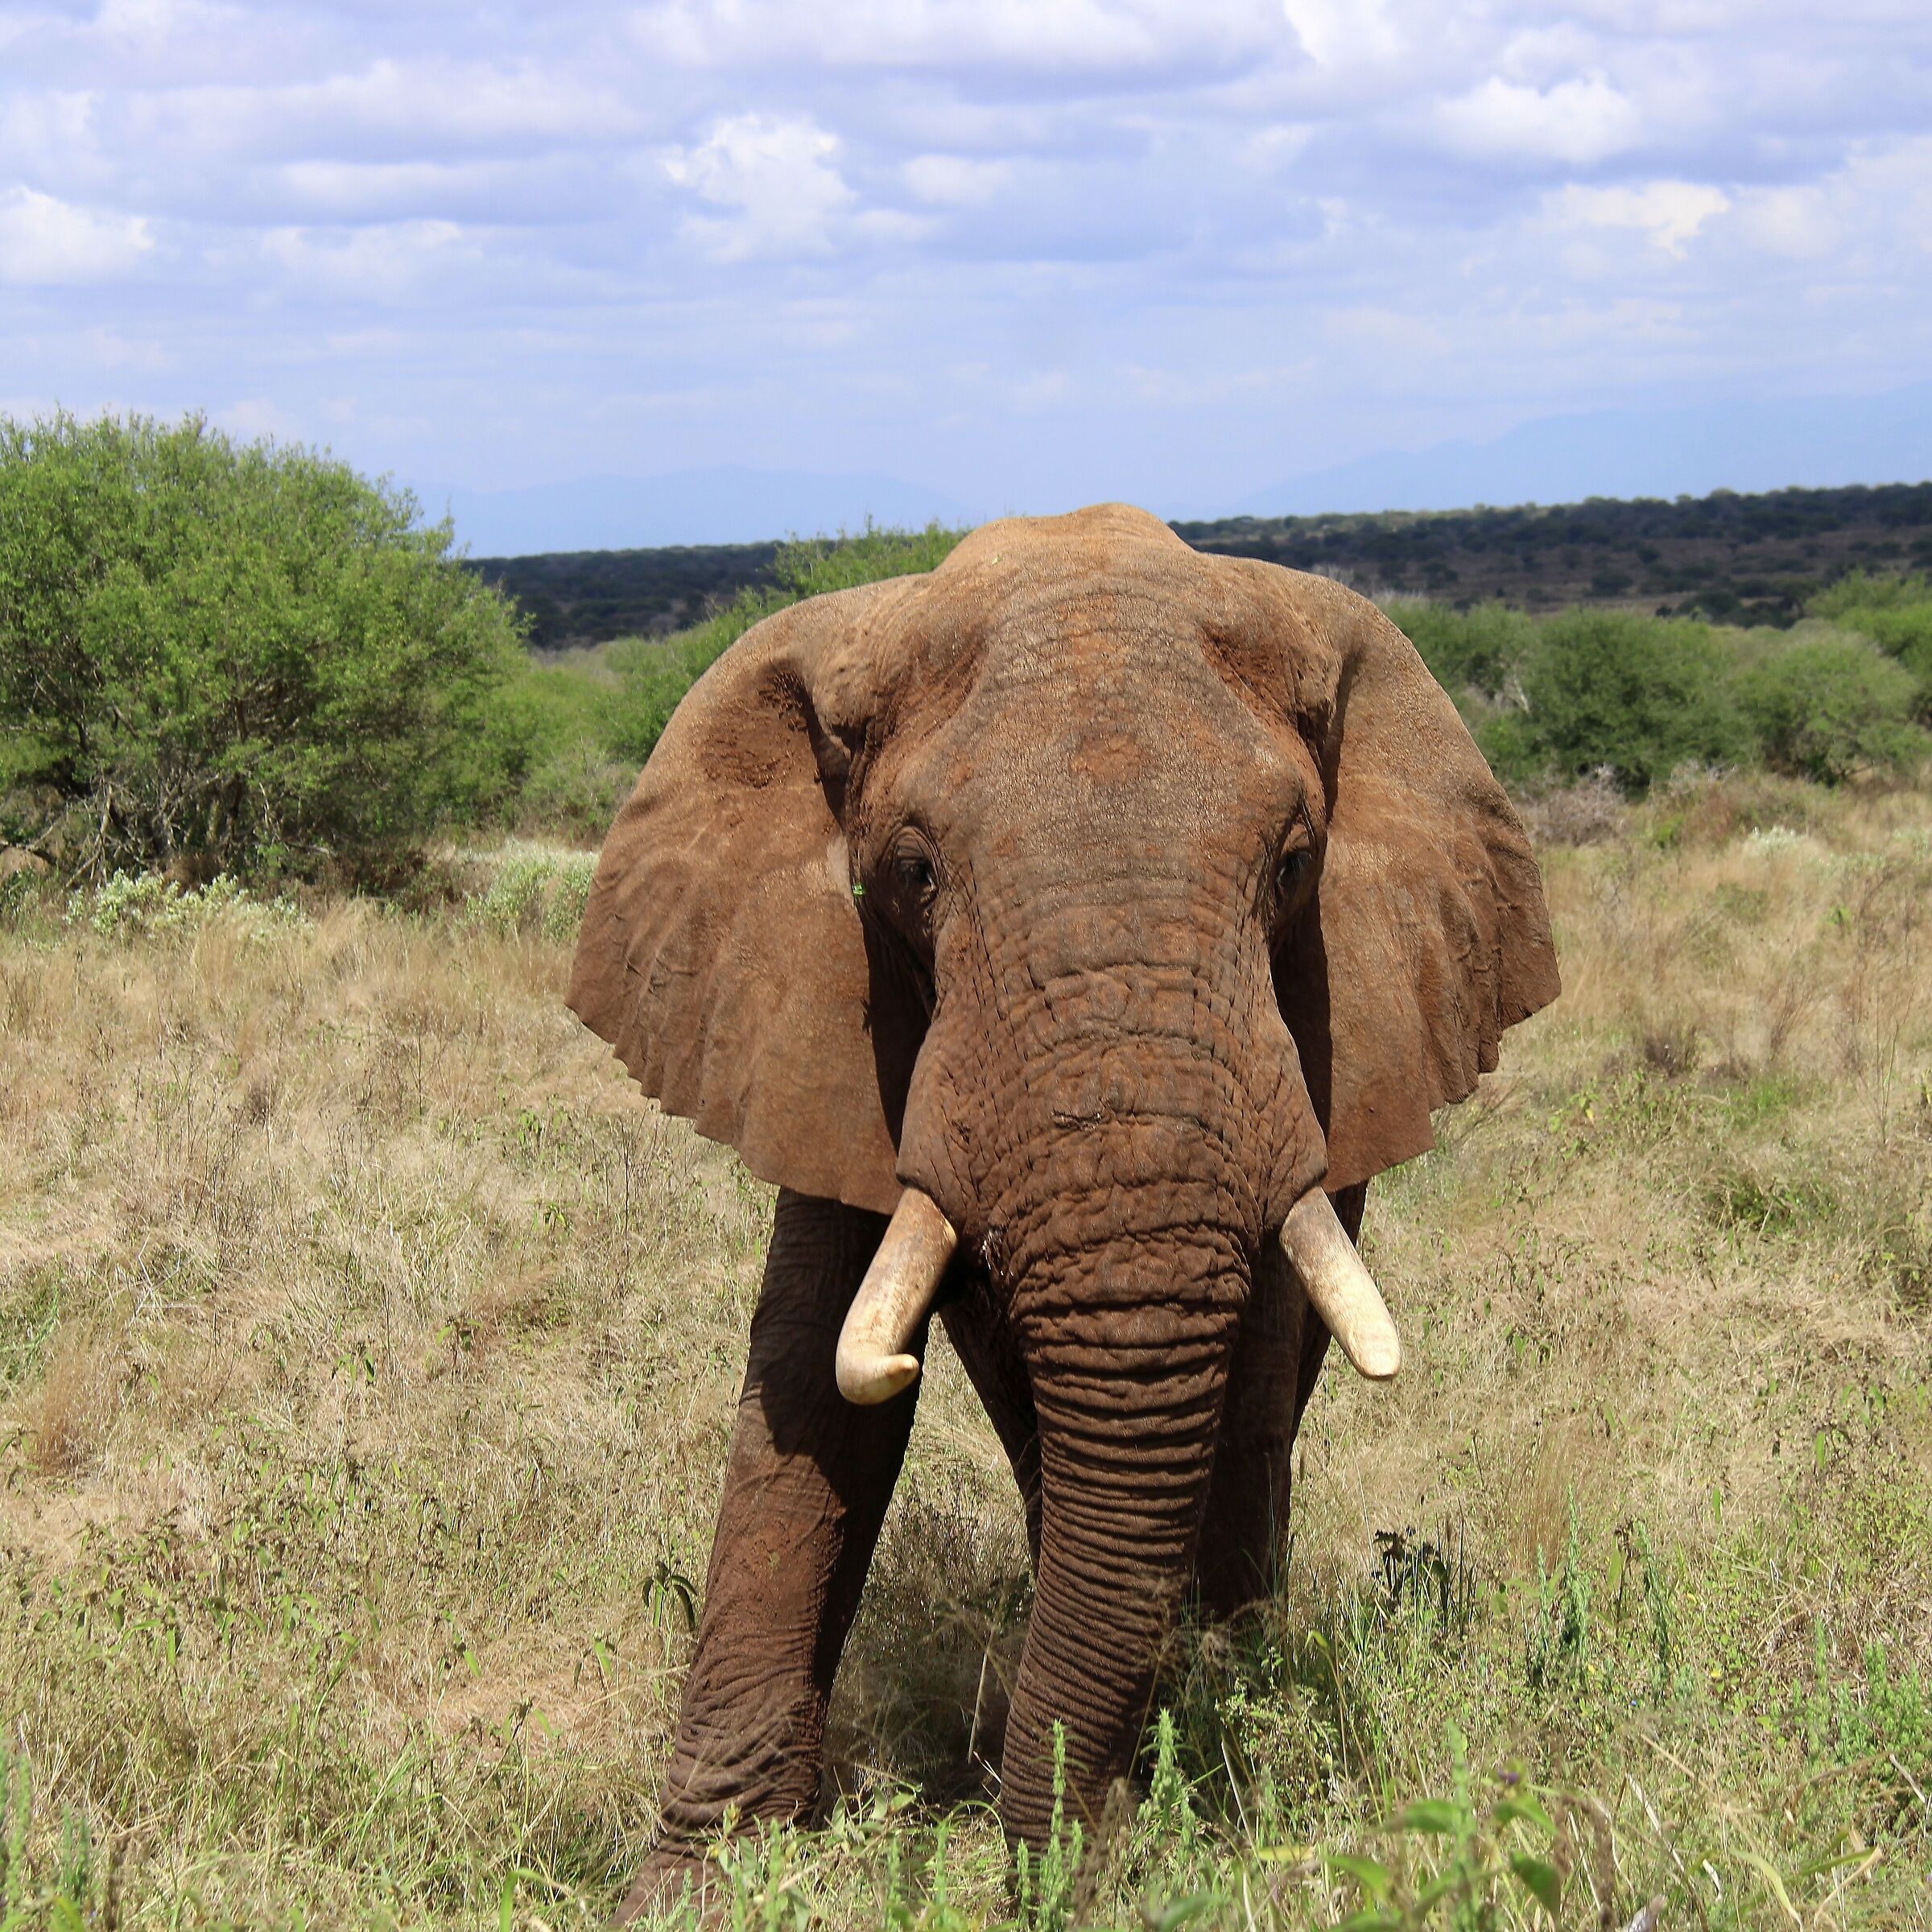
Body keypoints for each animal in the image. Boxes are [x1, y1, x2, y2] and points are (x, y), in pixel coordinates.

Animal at [567, 503, 1559, 1918]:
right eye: (908, 873)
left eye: (1294, 865)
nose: (1069, 1869)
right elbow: (814, 1395)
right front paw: (693, 1891)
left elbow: (1242, 1364)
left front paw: (1198, 1728)